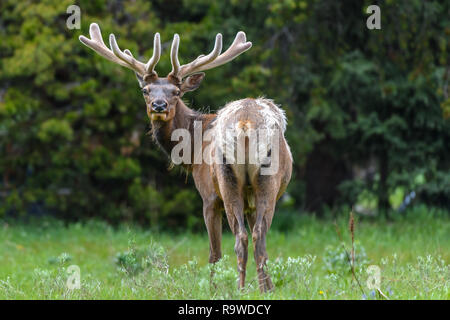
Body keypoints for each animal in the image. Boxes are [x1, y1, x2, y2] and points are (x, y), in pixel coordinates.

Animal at [79, 23, 294, 292]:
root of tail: (245, 123)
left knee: (240, 238)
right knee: (257, 236)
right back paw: (259, 289)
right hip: (261, 182)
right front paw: (267, 287)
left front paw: (214, 289)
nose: (159, 106)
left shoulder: (208, 195)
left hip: (228, 181)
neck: (193, 150)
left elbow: (214, 253)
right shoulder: (249, 201)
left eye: (176, 91)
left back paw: (239, 289)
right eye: (145, 90)